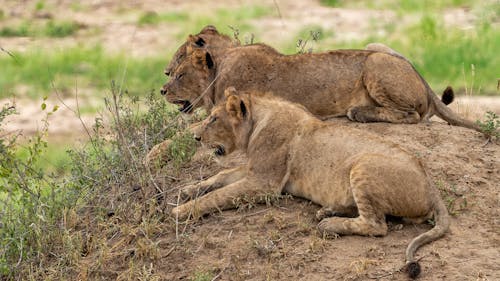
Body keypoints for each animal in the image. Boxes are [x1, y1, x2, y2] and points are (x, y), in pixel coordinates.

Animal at [174, 87, 452, 278]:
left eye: (213, 118)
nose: (196, 137)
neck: (257, 121)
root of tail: (430, 185)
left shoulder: (265, 183)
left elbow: (218, 196)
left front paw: (181, 211)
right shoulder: (256, 171)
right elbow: (221, 177)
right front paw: (188, 190)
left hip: (363, 165)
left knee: (376, 225)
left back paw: (329, 223)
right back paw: (327, 210)